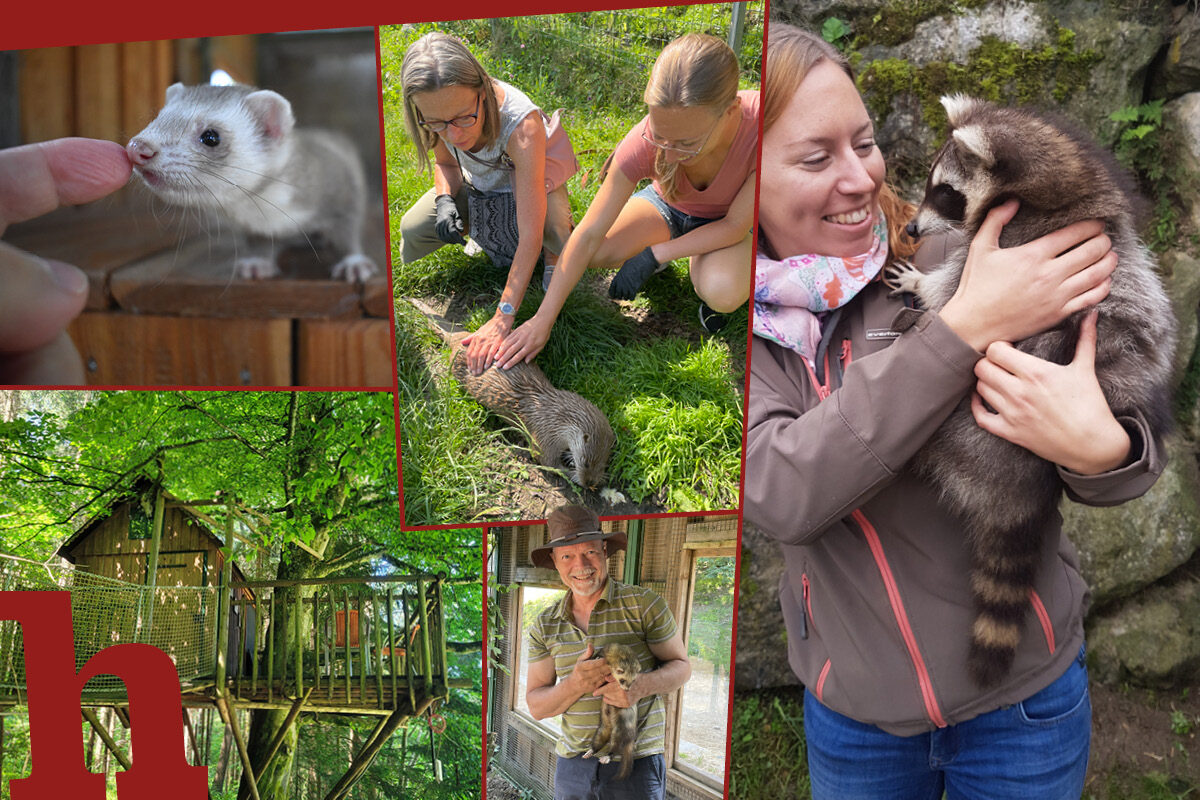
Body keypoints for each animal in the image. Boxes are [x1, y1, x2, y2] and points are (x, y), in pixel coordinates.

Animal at [583, 642, 643, 777]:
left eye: (634, 680)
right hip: (602, 729)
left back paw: (606, 757)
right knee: (598, 742)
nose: (627, 690)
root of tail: (631, 737)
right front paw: (595, 658)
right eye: (623, 680)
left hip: (619, 731)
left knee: (616, 748)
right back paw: (590, 751)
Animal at [892, 95, 1171, 690]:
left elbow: (953, 289)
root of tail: (1020, 478)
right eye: (930, 185)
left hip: (963, 427)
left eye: (944, 192)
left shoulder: (1021, 236)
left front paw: (923, 286)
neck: (1062, 178)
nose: (913, 228)